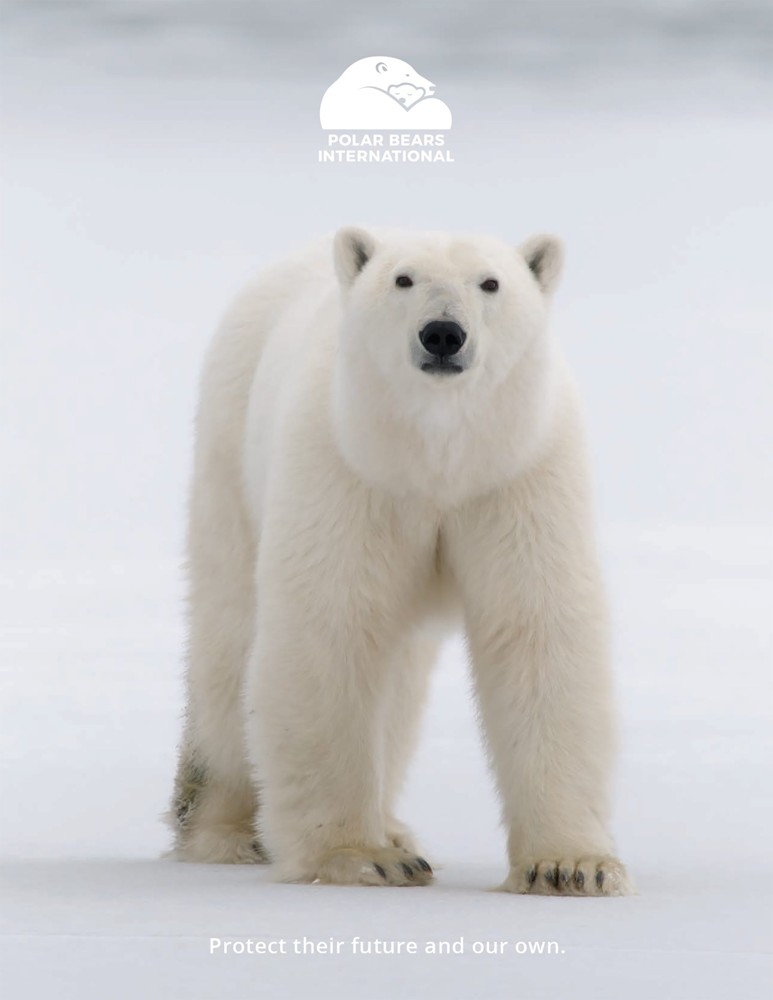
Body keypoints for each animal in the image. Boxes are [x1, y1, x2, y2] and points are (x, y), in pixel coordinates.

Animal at [168, 226, 632, 896]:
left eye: (490, 282)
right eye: (403, 279)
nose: (442, 334)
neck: (434, 457)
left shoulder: (517, 473)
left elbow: (534, 632)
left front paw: (571, 866)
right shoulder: (347, 470)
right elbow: (330, 631)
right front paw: (359, 856)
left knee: (401, 673)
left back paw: (392, 827)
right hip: (230, 451)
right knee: (229, 650)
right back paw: (226, 830)